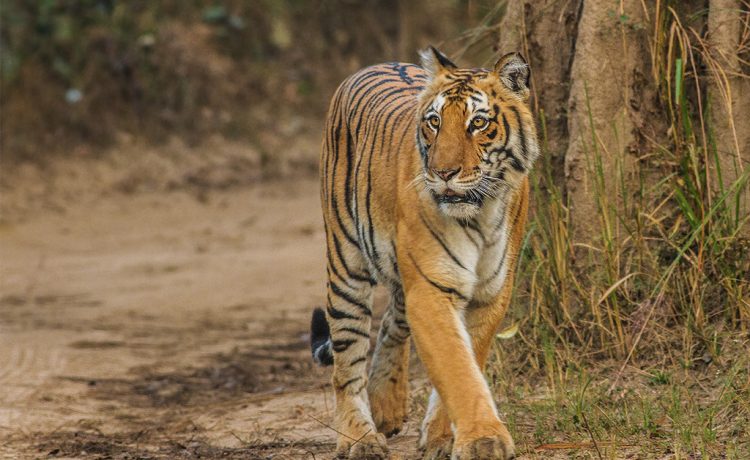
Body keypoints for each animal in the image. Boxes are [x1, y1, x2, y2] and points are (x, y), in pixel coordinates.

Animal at [312, 47, 540, 460]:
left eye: (478, 123)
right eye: (434, 122)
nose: (443, 172)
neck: (480, 214)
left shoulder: (490, 292)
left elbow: (468, 359)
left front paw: (441, 436)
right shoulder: (431, 290)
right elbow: (456, 367)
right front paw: (483, 440)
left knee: (391, 322)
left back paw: (386, 406)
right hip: (345, 263)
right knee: (347, 362)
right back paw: (359, 438)